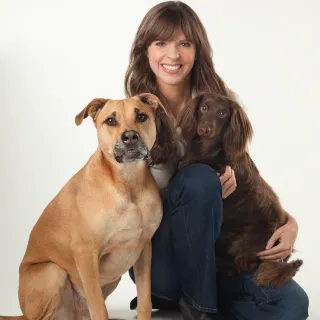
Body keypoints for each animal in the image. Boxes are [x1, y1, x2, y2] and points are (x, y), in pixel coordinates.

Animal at [0, 93, 176, 320]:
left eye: (141, 116)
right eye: (110, 120)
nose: (130, 137)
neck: (127, 182)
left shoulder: (144, 249)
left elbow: (144, 299)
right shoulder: (85, 253)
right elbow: (99, 307)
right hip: (52, 273)